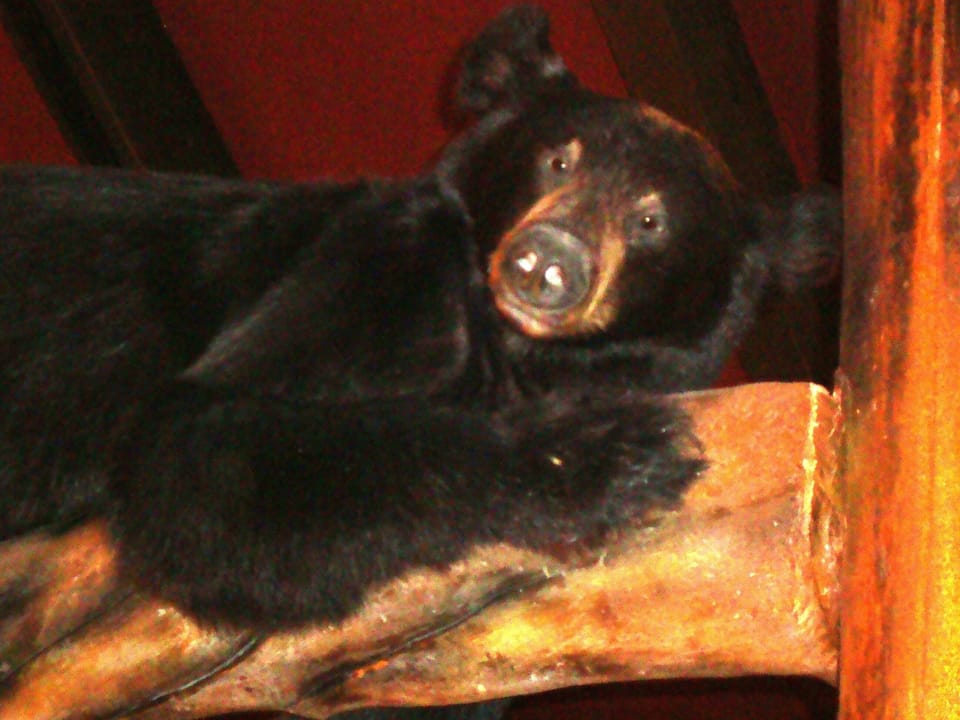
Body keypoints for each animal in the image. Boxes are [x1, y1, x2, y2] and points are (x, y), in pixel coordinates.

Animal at [0, 2, 838, 646]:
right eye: (558, 161)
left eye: (651, 221)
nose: (547, 260)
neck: (511, 342)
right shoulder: (380, 262)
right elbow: (195, 451)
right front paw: (611, 455)